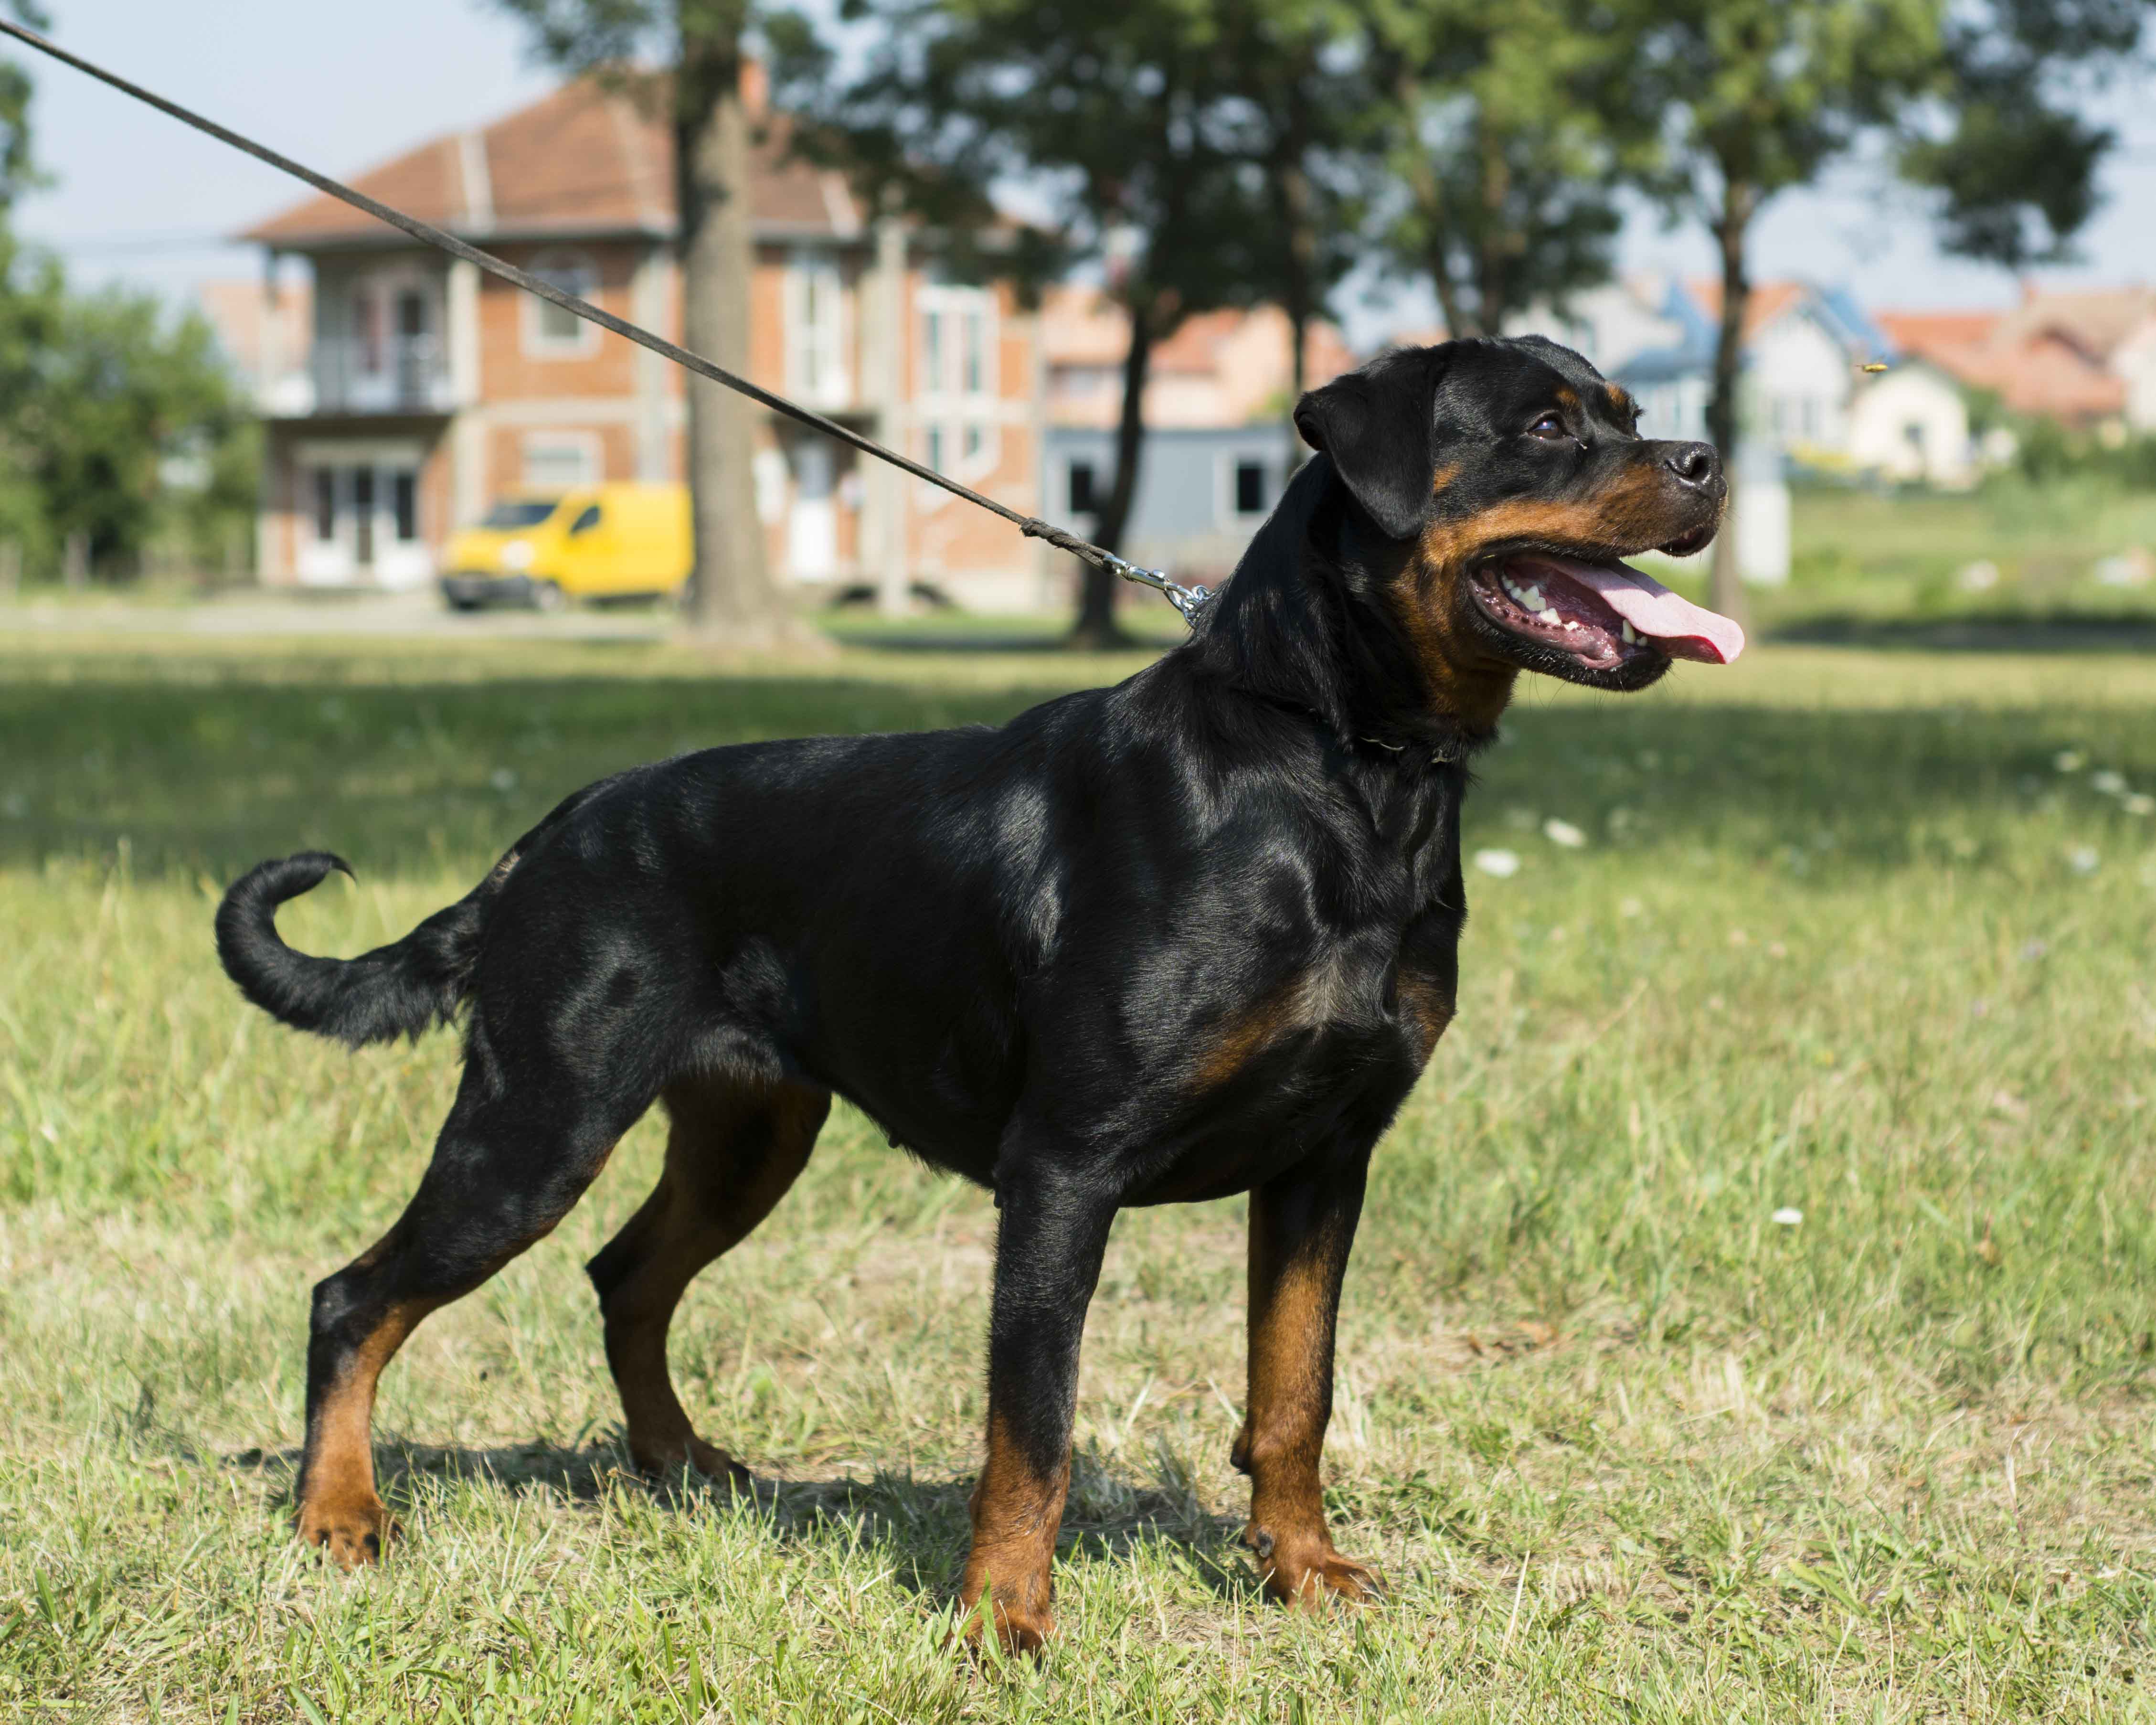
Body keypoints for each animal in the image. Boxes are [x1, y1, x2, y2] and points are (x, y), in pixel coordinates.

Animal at [214, 334, 1733, 1647]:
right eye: (1546, 428)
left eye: (1622, 407)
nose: (1707, 457)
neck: (1344, 769)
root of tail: (539, 842)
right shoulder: (1063, 1167)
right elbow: (1034, 1423)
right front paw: (1003, 1616)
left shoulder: (1326, 1159)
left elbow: (1293, 1390)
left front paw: (1301, 1570)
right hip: (539, 1122)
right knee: (355, 1297)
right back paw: (339, 1514)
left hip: (748, 1133)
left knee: (626, 1278)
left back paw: (680, 1464)